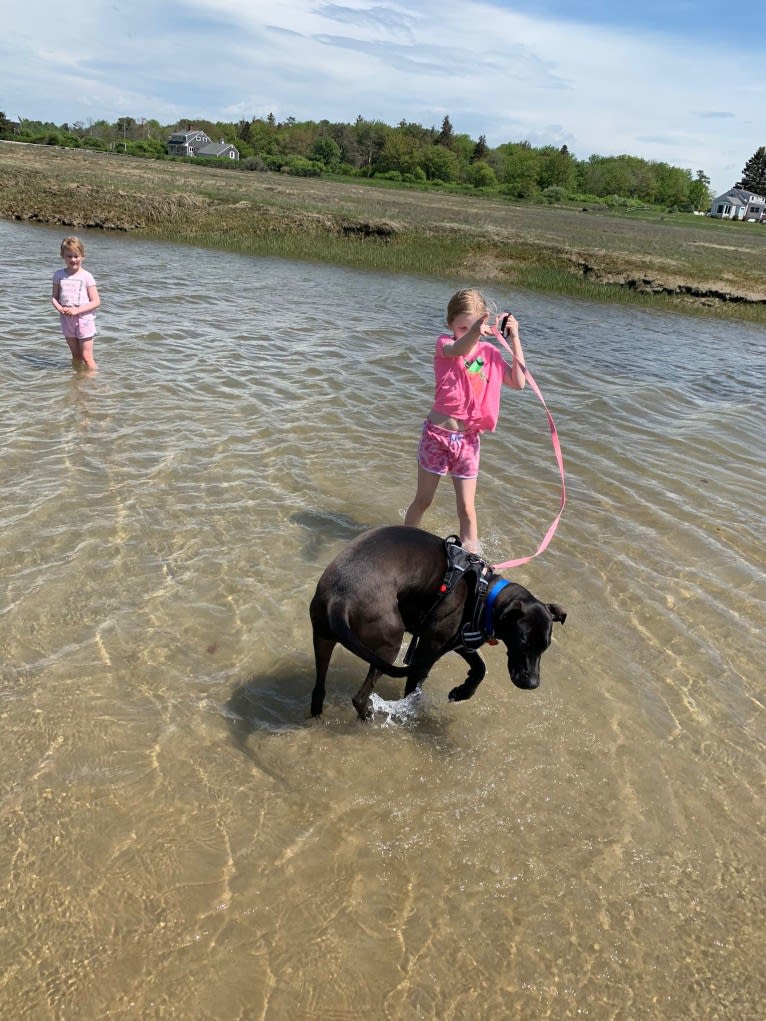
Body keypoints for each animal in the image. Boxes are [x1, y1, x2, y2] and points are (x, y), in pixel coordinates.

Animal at [308, 526, 567, 718]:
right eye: (523, 644)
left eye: (545, 648)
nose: (532, 683)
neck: (485, 594)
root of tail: (339, 599)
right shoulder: (430, 646)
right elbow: (414, 687)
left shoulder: (459, 641)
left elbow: (480, 668)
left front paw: (462, 691)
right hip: (388, 645)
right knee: (360, 697)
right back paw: (369, 715)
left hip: (322, 638)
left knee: (318, 689)